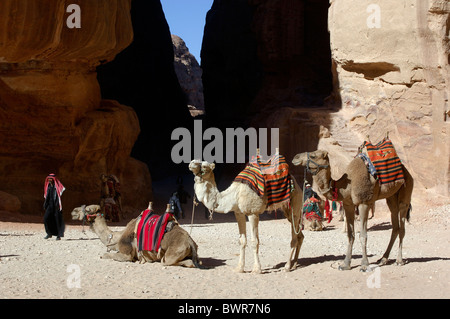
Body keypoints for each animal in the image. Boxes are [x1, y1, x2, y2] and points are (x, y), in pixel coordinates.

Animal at [71, 204, 202, 268]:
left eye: (88, 210)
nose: (73, 211)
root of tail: (190, 242)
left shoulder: (126, 254)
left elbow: (106, 255)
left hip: (174, 252)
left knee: (171, 261)